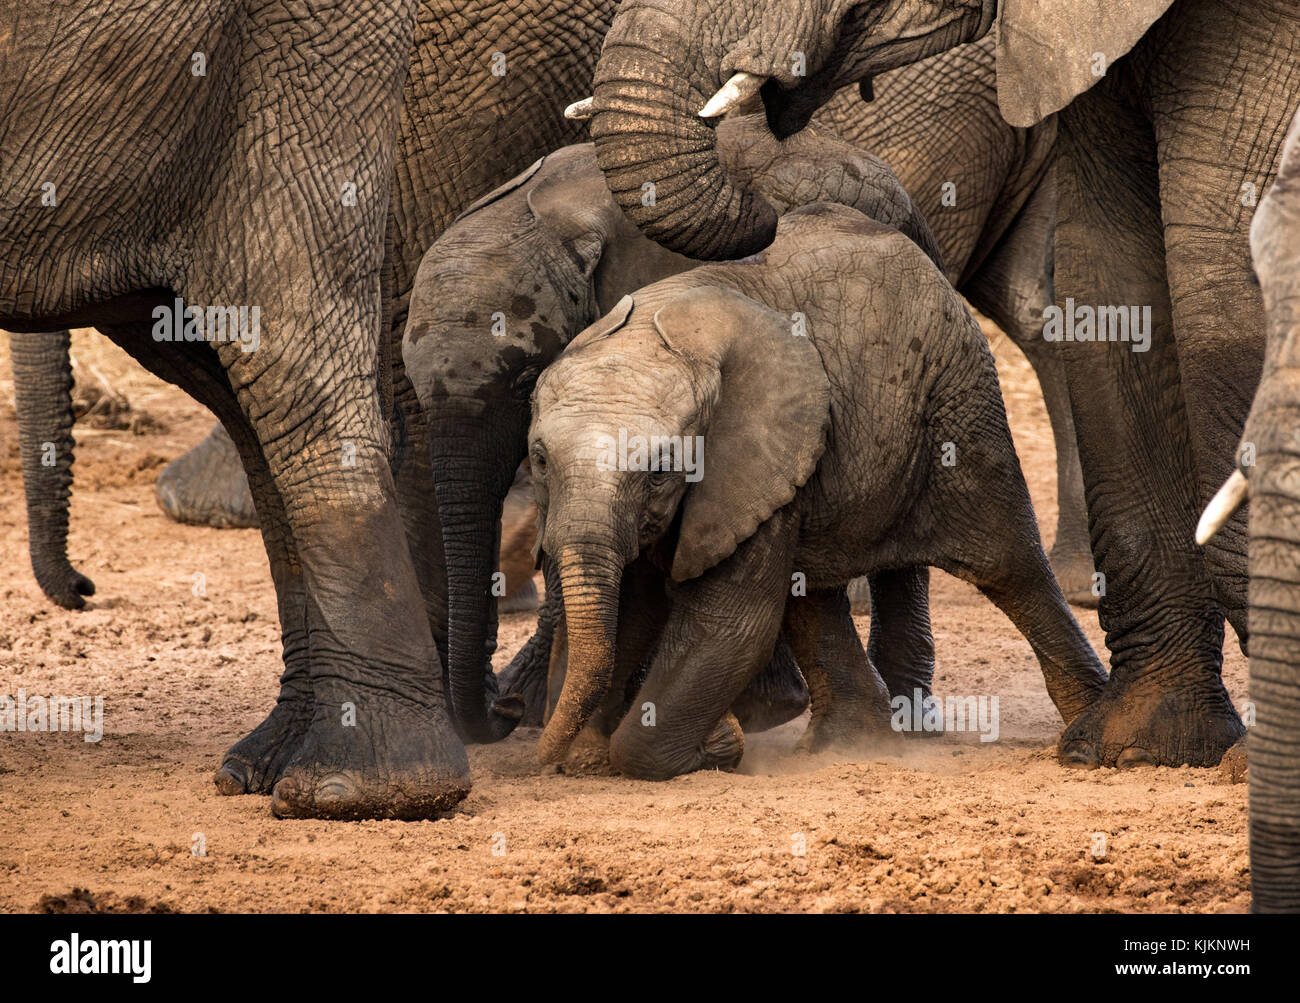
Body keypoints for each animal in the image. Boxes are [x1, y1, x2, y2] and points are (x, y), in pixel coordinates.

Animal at [527, 203, 1107, 779]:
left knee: (1008, 564)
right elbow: (634, 605)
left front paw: (716, 747)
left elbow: (729, 623)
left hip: (958, 397)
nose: (548, 759)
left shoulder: (754, 457)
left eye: (660, 471)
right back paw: (850, 746)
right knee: (810, 594)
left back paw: (1083, 731)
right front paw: (596, 753)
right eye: (539, 461)